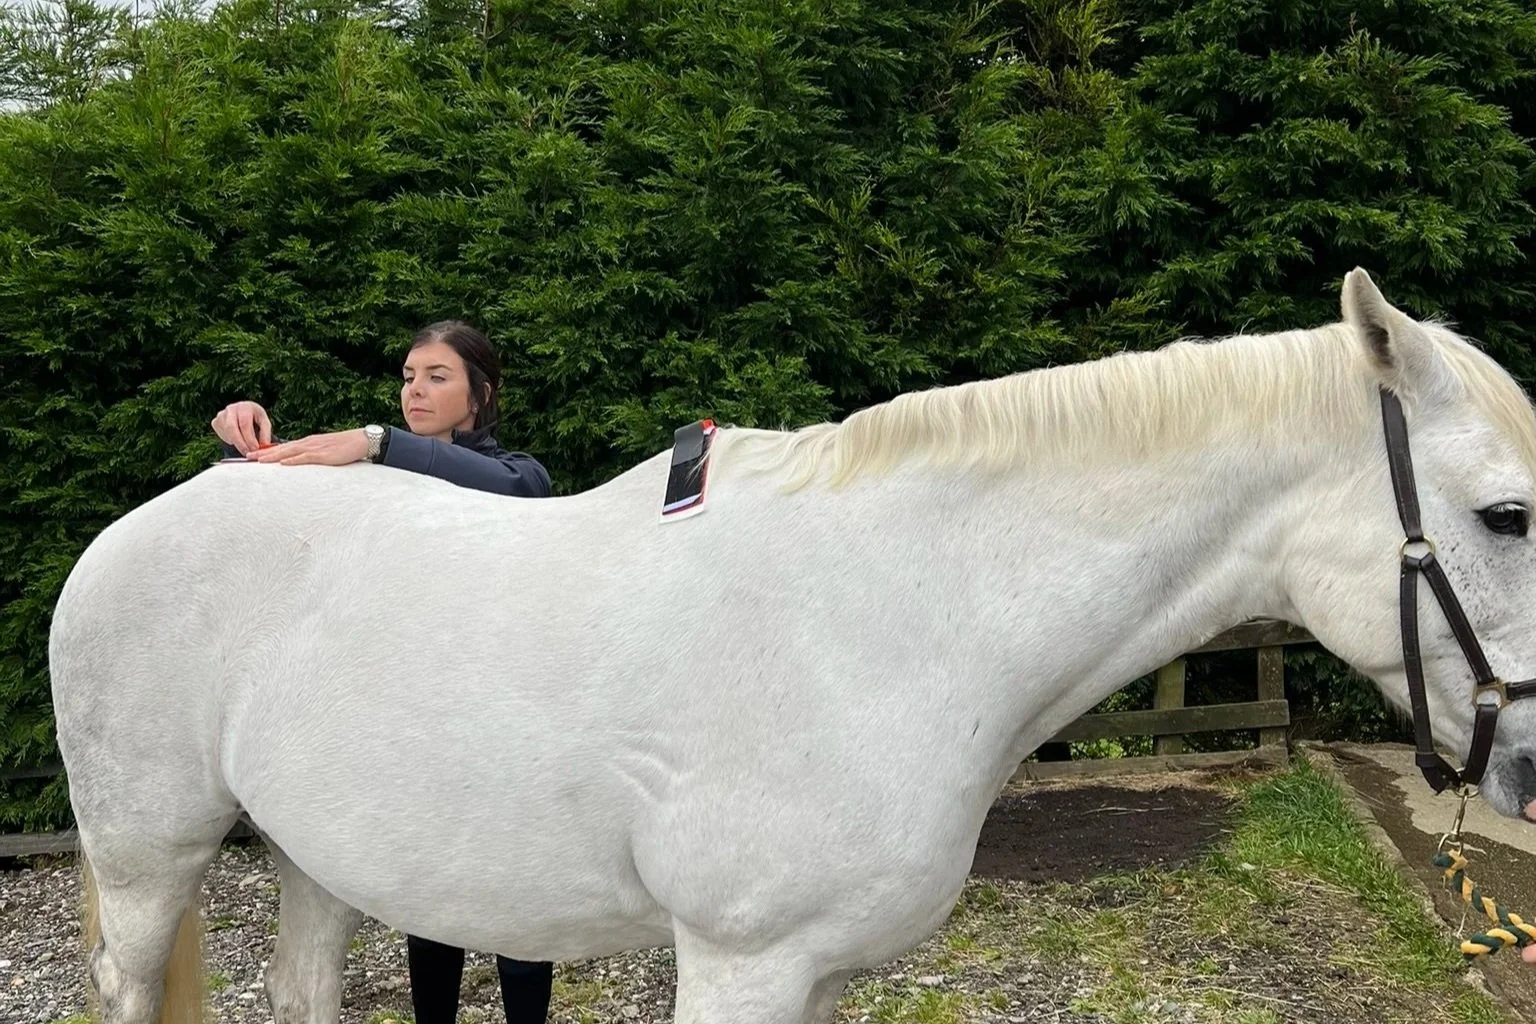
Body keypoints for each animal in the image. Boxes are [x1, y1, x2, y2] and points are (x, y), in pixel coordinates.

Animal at [48, 268, 1536, 1024]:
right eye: (1508, 513)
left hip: (313, 855)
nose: (1528, 764)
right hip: (147, 858)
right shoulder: (742, 961)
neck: (894, 612)